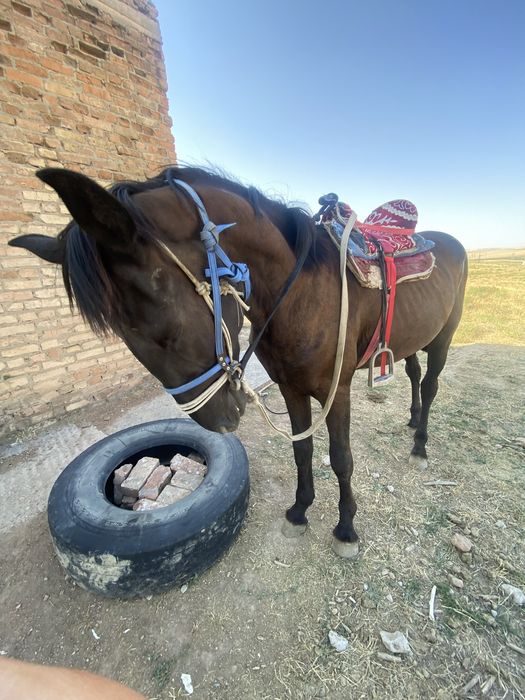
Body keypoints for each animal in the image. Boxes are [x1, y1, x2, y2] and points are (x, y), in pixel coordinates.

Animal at [9, 166, 468, 558]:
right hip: (413, 340)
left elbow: (341, 458)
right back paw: (412, 420)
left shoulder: (335, 392)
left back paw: (420, 444)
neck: (304, 291)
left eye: (166, 326)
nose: (219, 420)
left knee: (430, 385)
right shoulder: (291, 388)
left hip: (443, 338)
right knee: (413, 374)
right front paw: (299, 511)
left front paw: (346, 529)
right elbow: (302, 450)